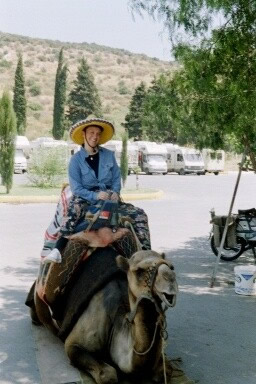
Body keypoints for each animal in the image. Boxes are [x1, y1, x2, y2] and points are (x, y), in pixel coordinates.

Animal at [30, 248, 185, 382]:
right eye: (139, 271)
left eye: (171, 266)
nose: (170, 280)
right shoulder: (74, 343)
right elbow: (108, 374)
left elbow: (165, 371)